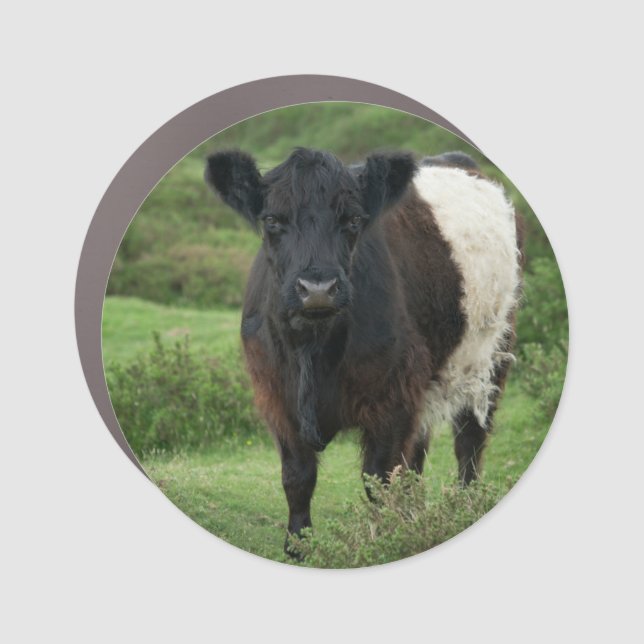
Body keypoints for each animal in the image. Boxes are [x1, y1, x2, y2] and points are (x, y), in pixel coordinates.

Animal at [205, 147, 522, 555]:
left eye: (353, 220)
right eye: (272, 220)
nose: (318, 288)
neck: (314, 348)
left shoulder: (393, 395)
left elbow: (380, 478)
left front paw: (386, 540)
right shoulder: (276, 395)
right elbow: (297, 476)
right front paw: (298, 547)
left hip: (490, 356)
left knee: (470, 439)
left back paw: (465, 507)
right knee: (418, 454)